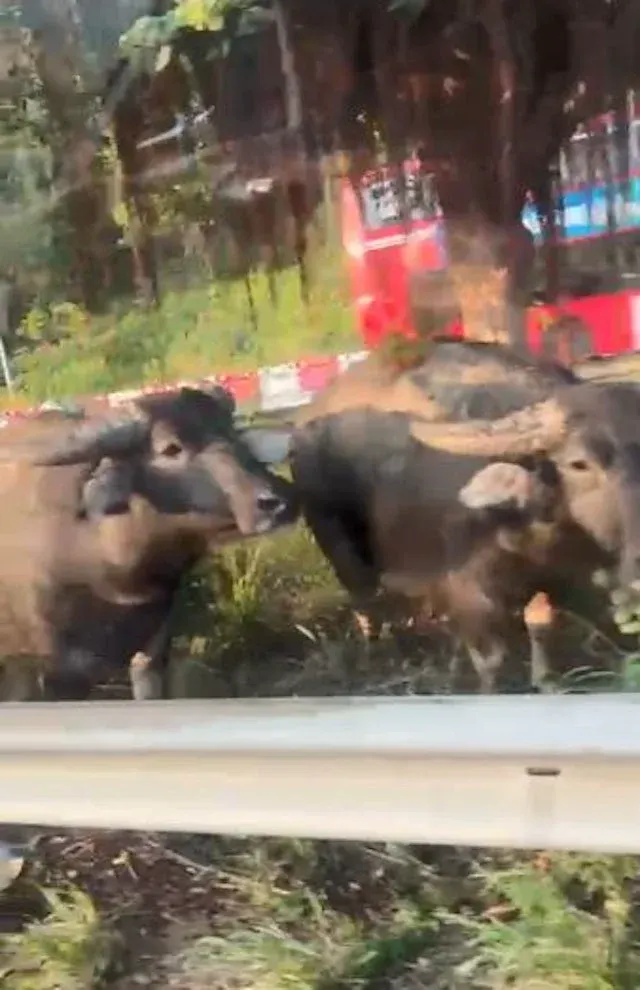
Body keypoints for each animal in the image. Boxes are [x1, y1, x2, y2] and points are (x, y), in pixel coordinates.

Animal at [288, 338, 639, 692]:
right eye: (579, 463)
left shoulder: (557, 577)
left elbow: (541, 625)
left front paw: (545, 680)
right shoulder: (470, 594)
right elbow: (491, 659)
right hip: (340, 547)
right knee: (368, 608)